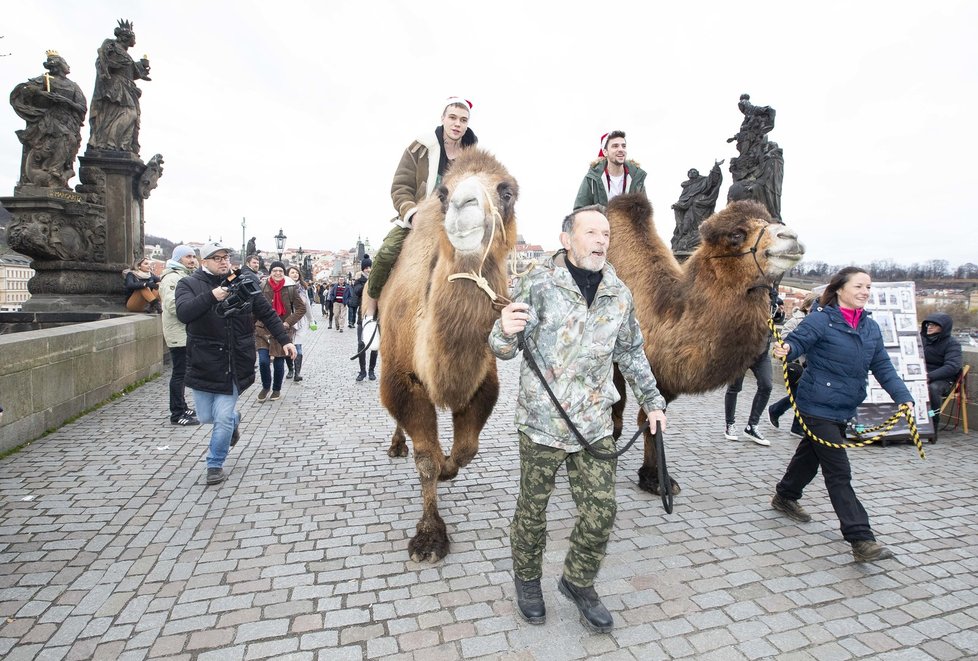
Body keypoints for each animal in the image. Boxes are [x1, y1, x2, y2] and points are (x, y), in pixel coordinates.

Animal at [378, 147, 524, 560]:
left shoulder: (483, 382)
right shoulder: (402, 379)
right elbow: (425, 459)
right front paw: (429, 537)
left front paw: (448, 466)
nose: (463, 204)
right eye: (443, 193)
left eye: (507, 192)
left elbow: (466, 451)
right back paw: (397, 444)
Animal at [608, 196, 804, 496]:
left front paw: (655, 479)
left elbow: (651, 420)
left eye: (772, 221)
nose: (791, 237)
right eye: (736, 235)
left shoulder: (661, 376)